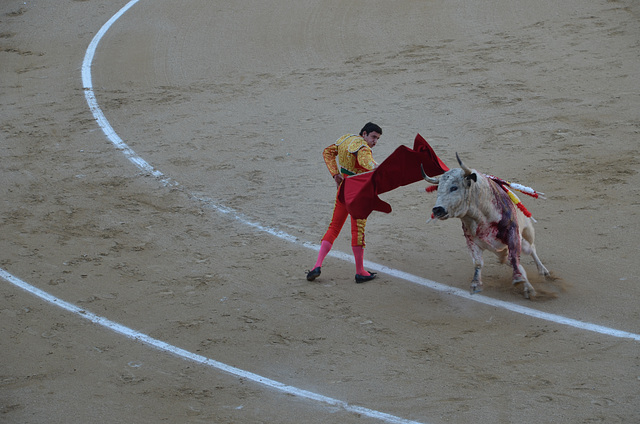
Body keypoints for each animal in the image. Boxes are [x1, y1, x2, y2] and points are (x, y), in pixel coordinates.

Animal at [420, 155, 552, 298]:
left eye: (454, 187)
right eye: (438, 189)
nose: (437, 210)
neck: (479, 216)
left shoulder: (512, 233)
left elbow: (515, 257)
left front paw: (518, 278)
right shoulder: (472, 241)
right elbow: (478, 263)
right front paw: (475, 284)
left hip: (526, 232)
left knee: (531, 249)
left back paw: (543, 272)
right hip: (500, 251)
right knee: (511, 260)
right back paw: (529, 287)